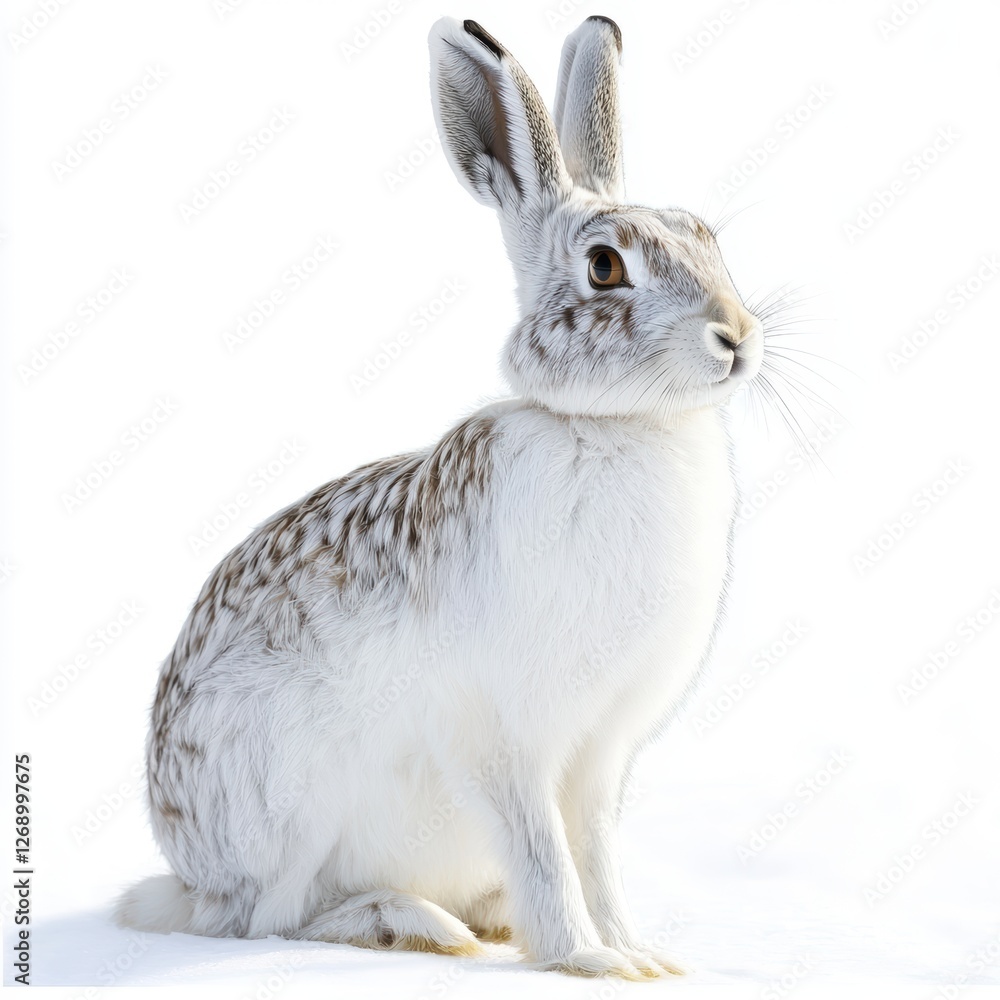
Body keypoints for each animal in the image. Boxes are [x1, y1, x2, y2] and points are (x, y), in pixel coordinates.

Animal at [115, 14, 764, 980]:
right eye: (605, 268)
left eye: (706, 236)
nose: (738, 335)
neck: (616, 425)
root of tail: (185, 866)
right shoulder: (501, 735)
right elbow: (543, 847)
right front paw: (585, 958)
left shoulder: (601, 751)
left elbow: (595, 850)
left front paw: (639, 954)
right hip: (290, 805)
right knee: (264, 919)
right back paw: (412, 925)